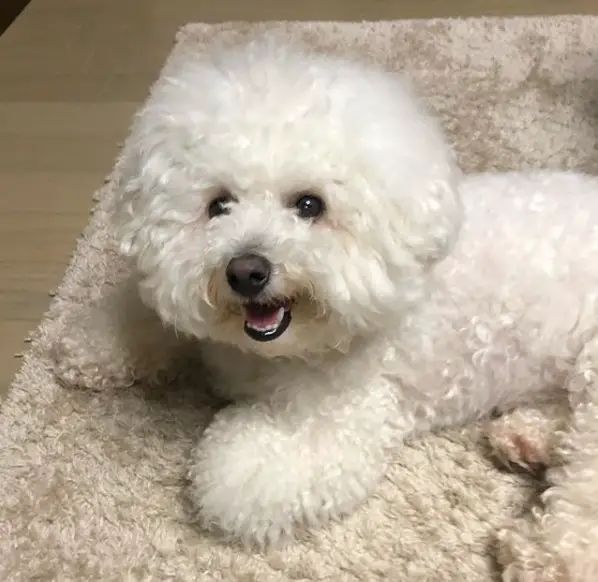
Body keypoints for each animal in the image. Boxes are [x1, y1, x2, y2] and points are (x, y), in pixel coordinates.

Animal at [50, 38, 598, 580]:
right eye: (218, 205)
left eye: (309, 205)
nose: (246, 271)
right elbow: (149, 315)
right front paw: (90, 346)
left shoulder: (347, 417)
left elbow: (237, 473)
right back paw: (527, 437)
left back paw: (543, 554)